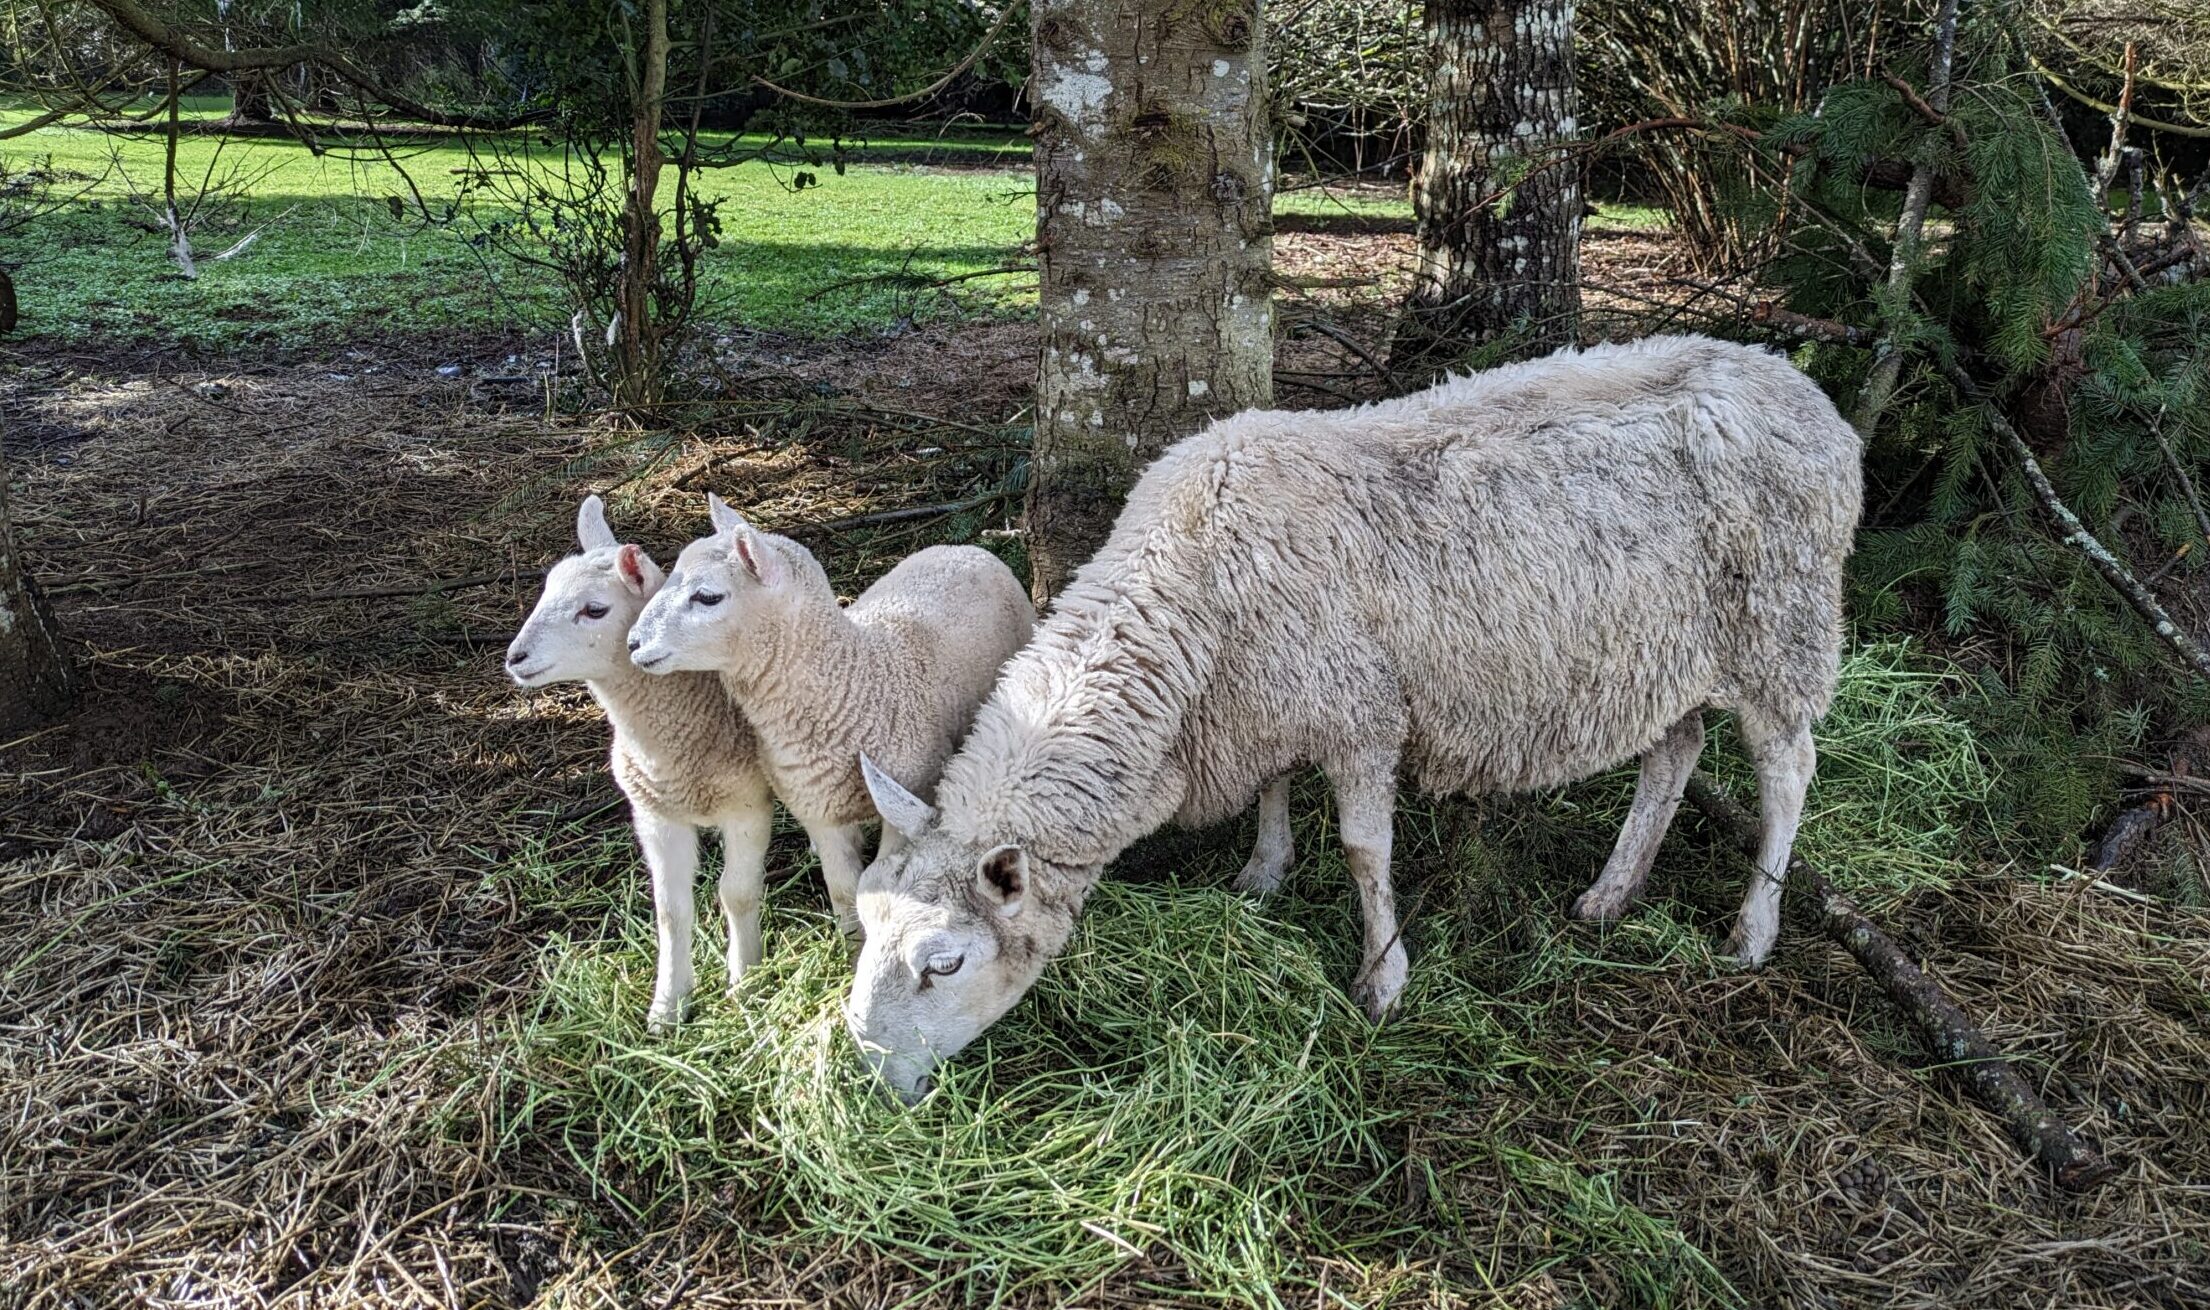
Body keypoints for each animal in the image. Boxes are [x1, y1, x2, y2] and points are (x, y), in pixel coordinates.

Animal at [505, 496, 775, 1030]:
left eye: (594, 610)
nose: (516, 657)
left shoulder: (747, 807)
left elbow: (736, 894)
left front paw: (745, 982)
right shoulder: (655, 814)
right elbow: (671, 910)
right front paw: (668, 1006)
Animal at [624, 494, 1036, 934]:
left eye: (707, 597)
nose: (633, 643)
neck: (853, 688)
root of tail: (965, 548)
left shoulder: (909, 795)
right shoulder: (817, 809)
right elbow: (843, 889)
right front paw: (849, 938)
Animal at [845, 334, 1864, 1100]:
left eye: (945, 964)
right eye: (860, 925)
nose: (862, 1074)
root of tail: (1803, 388)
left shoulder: (1363, 715)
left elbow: (1366, 851)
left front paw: (1382, 979)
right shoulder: (1272, 704)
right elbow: (1273, 789)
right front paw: (1263, 874)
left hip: (1783, 627)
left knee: (1788, 772)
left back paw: (1752, 931)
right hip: (1659, 652)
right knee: (1675, 752)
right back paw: (1613, 892)